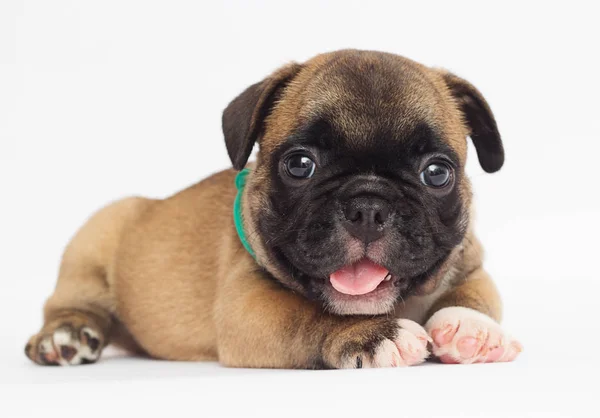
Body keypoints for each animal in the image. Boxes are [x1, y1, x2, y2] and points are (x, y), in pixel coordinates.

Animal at [23, 50, 520, 368]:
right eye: (299, 165)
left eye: (437, 173)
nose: (368, 206)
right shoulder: (248, 305)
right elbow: (310, 315)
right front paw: (375, 333)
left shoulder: (471, 262)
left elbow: (476, 292)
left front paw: (470, 329)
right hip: (94, 239)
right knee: (68, 304)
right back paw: (65, 335)